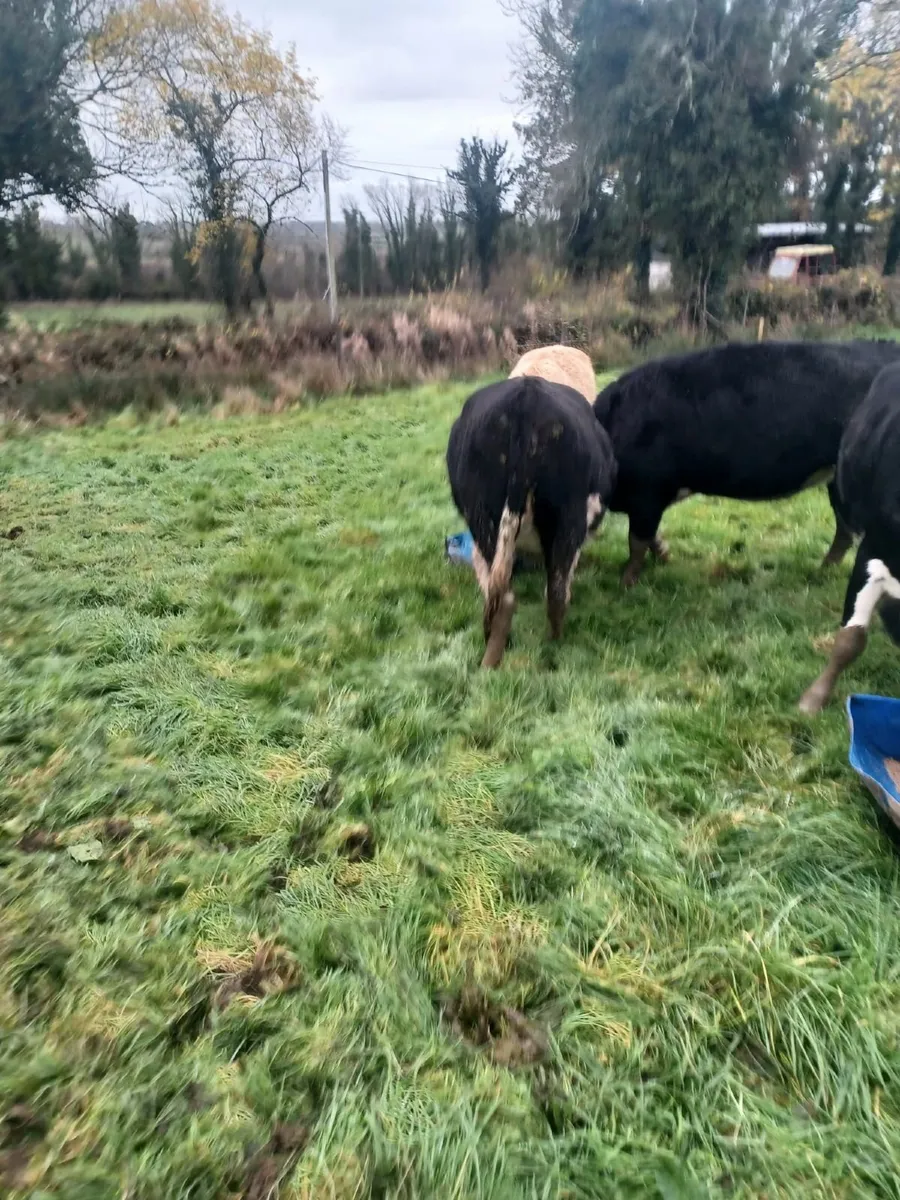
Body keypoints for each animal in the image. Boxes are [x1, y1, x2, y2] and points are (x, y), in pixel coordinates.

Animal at [446, 376, 617, 668]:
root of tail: (526, 400)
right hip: (568, 520)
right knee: (555, 592)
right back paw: (552, 643)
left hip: (484, 520)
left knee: (503, 594)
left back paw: (492, 656)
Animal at [592, 339, 900, 587]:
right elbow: (650, 536)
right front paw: (664, 559)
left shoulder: (648, 490)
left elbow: (637, 542)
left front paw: (625, 584)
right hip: (838, 479)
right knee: (846, 529)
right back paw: (822, 572)